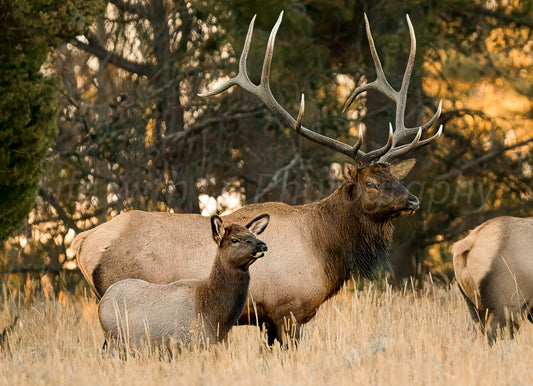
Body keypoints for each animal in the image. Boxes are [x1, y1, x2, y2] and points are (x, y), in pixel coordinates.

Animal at [72, 11, 442, 344]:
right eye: (370, 183)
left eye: (394, 176)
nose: (412, 200)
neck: (327, 252)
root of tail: (83, 242)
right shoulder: (285, 309)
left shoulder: (267, 318)